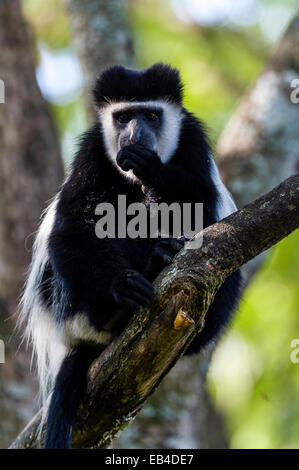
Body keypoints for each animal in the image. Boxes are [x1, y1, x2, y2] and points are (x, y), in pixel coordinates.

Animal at [20, 62, 241, 448]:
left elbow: (200, 209)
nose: (135, 135)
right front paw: (123, 285)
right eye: (123, 117)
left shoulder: (193, 140)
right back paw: (125, 298)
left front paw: (152, 170)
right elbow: (74, 226)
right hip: (68, 305)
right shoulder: (93, 150)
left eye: (151, 115)